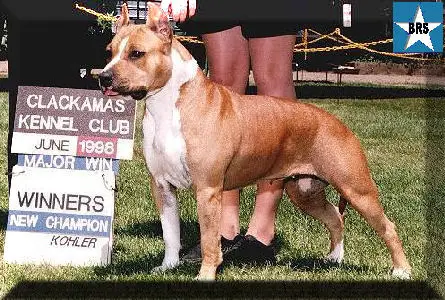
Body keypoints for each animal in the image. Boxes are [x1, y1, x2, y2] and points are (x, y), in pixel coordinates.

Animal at [99, 2, 412, 280]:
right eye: (110, 52)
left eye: (136, 53)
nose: (103, 77)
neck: (169, 104)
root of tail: (337, 123)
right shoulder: (162, 186)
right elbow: (170, 234)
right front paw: (168, 267)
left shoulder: (208, 190)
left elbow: (210, 241)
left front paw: (205, 275)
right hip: (304, 191)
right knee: (335, 216)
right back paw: (334, 258)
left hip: (357, 189)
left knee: (387, 226)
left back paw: (402, 270)